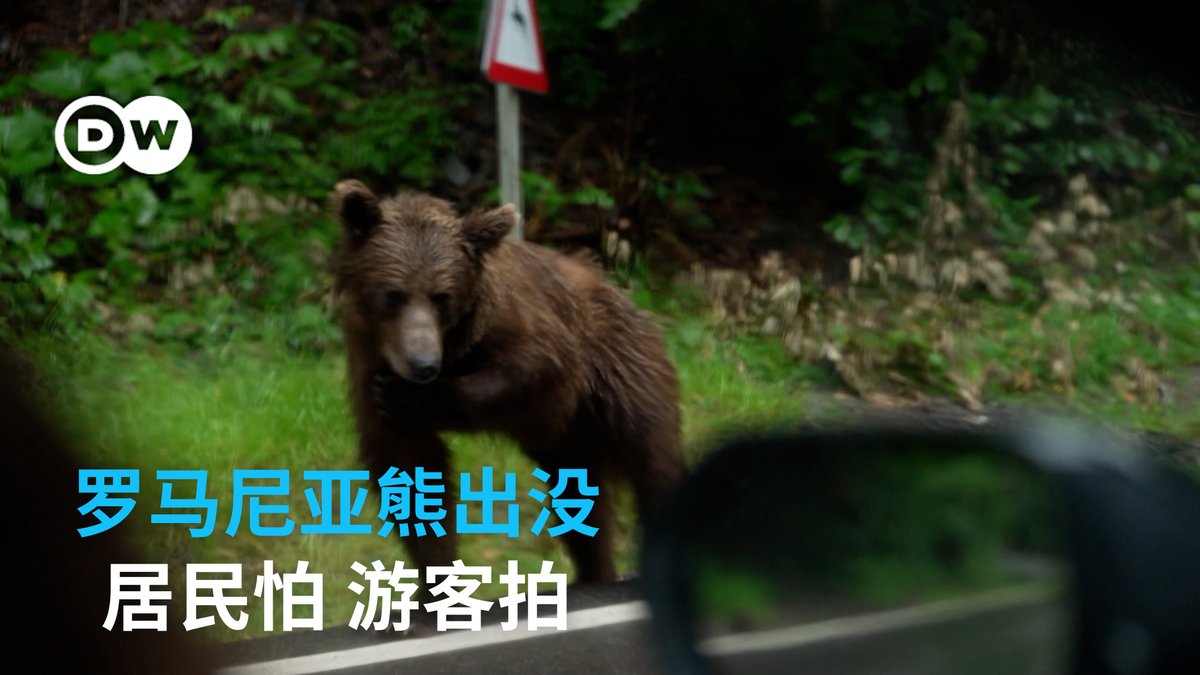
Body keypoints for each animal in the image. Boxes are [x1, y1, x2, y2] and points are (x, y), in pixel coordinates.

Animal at [331, 179, 686, 587]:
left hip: (624, 371)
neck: (457, 347)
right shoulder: (368, 359)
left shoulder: (524, 328)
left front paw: (417, 398)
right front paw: (434, 582)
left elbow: (534, 368)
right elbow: (410, 469)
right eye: (394, 294)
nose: (423, 365)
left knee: (652, 459)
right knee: (580, 500)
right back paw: (593, 571)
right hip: (569, 439)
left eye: (442, 297)